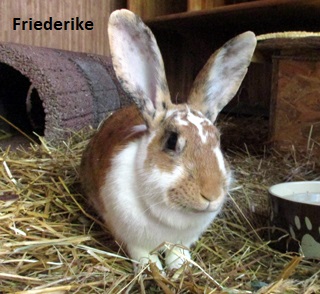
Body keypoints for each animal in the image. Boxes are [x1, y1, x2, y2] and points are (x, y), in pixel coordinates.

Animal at [80, 8, 258, 272]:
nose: (211, 195)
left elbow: (178, 253)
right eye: (172, 141)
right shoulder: (132, 240)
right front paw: (153, 269)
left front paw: (180, 268)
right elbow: (143, 256)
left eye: (218, 140)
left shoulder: (183, 240)